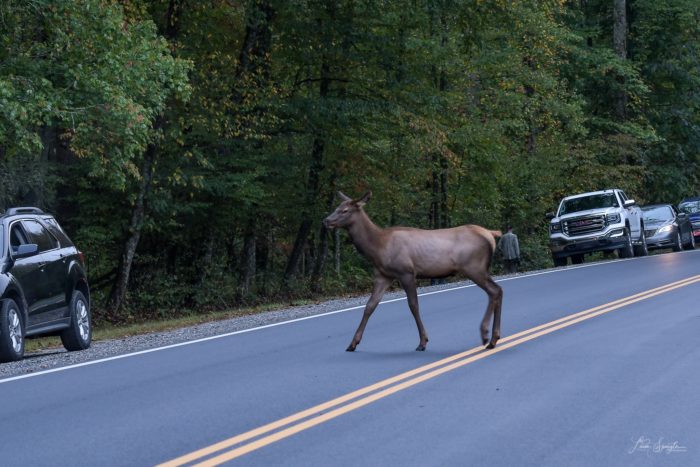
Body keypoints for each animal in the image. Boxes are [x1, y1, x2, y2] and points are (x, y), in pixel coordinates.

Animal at [322, 191, 504, 352]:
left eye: (345, 210)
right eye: (337, 207)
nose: (326, 220)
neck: (377, 248)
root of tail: (491, 234)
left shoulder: (406, 272)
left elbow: (413, 305)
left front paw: (423, 342)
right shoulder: (383, 275)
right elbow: (370, 306)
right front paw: (352, 343)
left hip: (474, 267)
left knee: (495, 291)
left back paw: (487, 336)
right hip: (478, 269)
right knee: (497, 291)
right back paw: (493, 337)